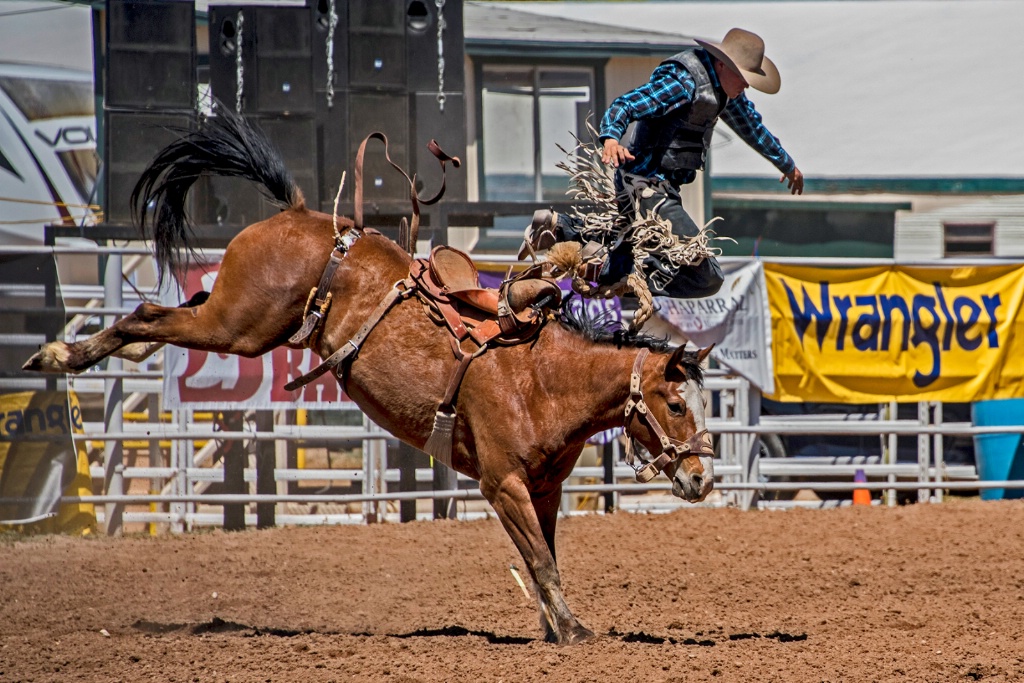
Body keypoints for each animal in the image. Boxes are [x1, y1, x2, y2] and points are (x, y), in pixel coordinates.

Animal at [24, 109, 712, 643]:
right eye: (677, 405)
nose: (703, 478)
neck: (539, 379)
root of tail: (300, 213)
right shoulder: (503, 485)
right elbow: (540, 562)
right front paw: (572, 631)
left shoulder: (542, 491)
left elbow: (546, 559)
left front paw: (553, 626)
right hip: (239, 325)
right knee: (148, 314)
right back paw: (59, 356)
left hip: (238, 319)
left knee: (171, 311)